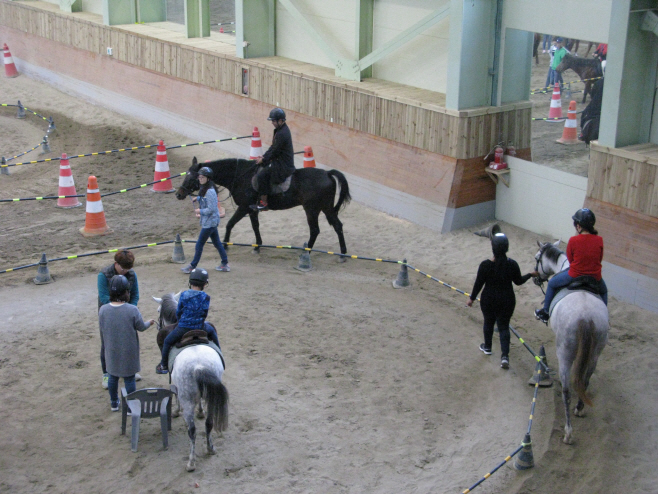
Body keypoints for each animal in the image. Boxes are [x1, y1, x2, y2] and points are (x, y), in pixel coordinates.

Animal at [151, 294, 228, 470]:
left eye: (158, 310)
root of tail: (198, 365)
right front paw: (200, 411)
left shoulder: (174, 380)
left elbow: (175, 393)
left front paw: (175, 410)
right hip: (211, 396)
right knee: (209, 423)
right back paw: (210, 448)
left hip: (187, 398)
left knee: (192, 430)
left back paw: (191, 462)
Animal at [532, 241, 608, 446]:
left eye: (537, 258)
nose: (535, 279)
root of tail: (586, 317)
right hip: (595, 353)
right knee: (585, 379)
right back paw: (579, 409)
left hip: (565, 354)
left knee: (566, 390)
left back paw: (568, 432)